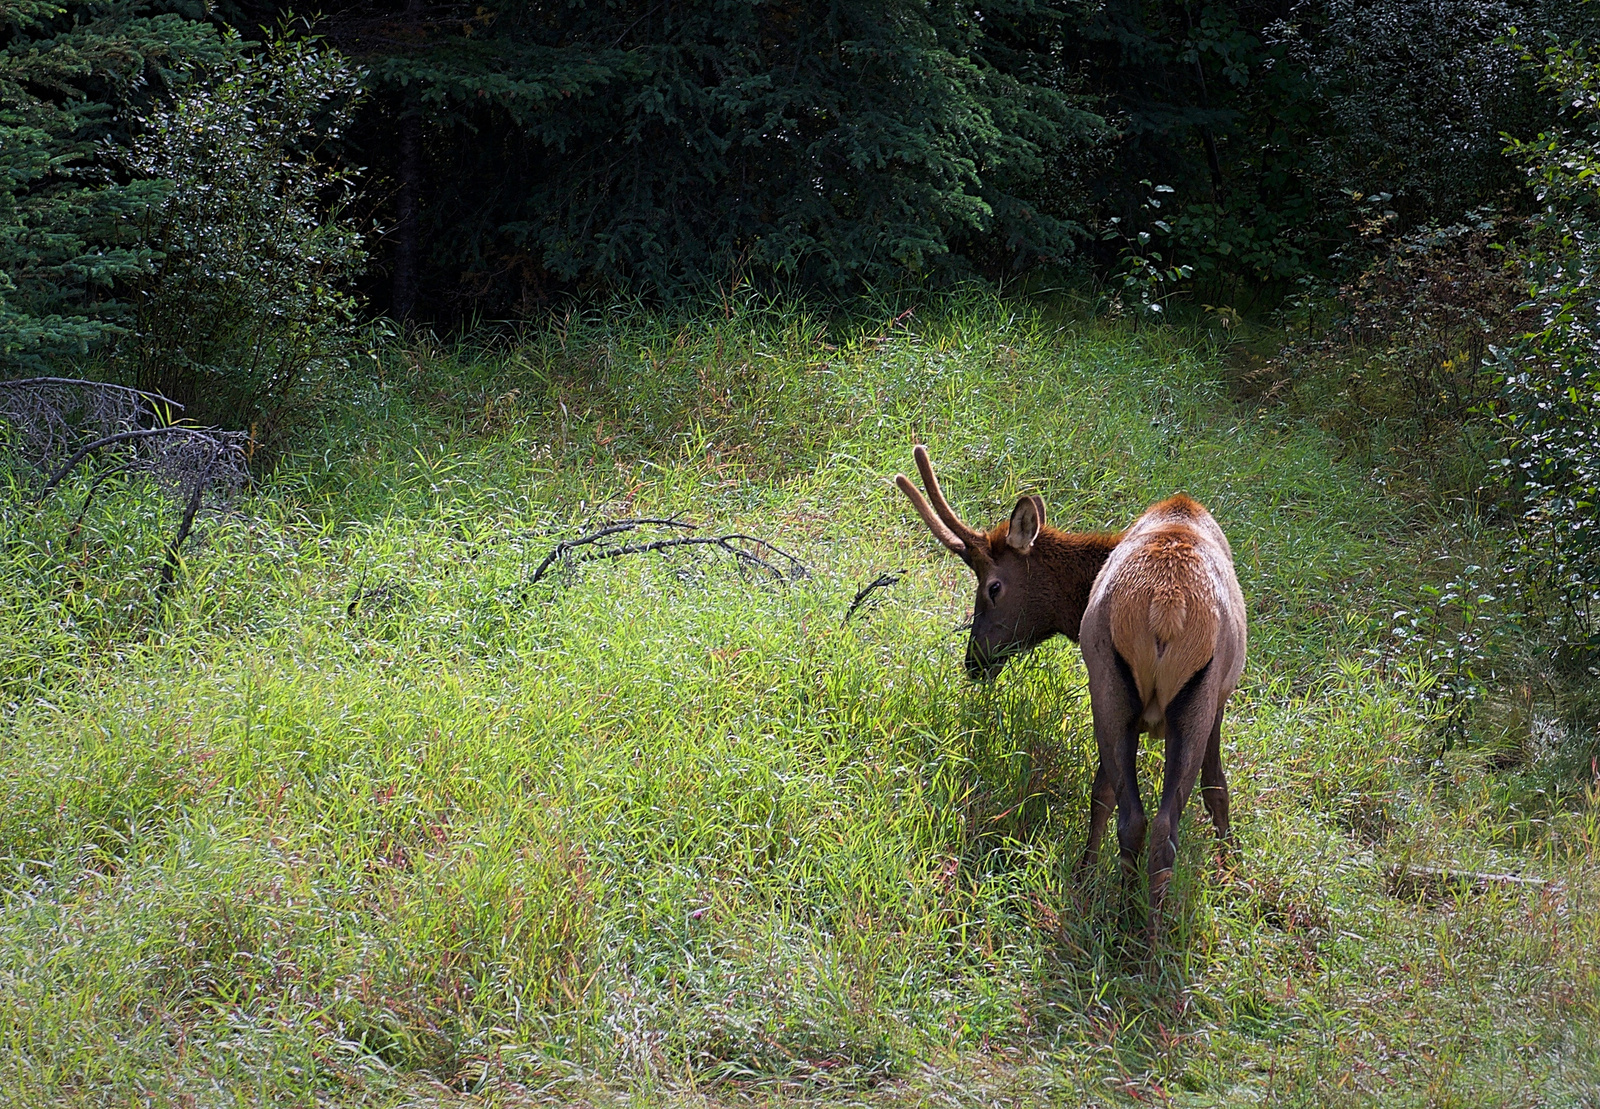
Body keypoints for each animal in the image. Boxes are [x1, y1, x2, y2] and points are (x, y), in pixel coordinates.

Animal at [889, 444, 1248, 928]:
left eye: (993, 587)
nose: (974, 662)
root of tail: (1165, 607)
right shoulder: (1215, 697)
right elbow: (1211, 788)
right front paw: (1230, 871)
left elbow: (1210, 789)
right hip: (1146, 697)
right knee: (1146, 819)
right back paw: (1128, 918)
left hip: (1127, 695)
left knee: (1142, 820)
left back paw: (1130, 921)